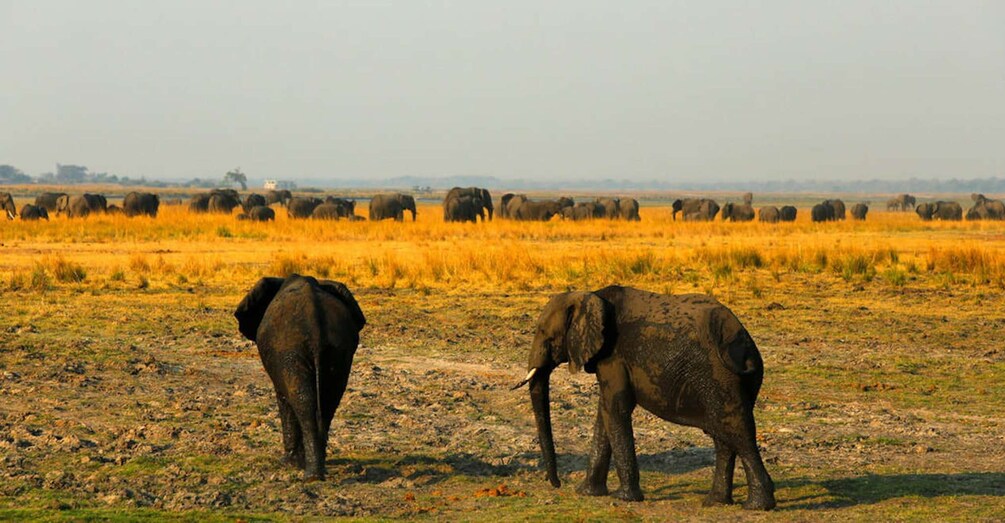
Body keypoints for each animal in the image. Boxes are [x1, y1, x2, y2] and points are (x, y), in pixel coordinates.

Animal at [234, 275, 365, 480]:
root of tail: (316, 327)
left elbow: (284, 399)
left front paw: (288, 464)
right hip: (338, 351)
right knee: (327, 402)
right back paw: (318, 469)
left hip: (291, 351)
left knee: (303, 401)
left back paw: (309, 474)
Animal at [518, 285, 775, 510]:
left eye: (546, 335)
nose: (557, 484)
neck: (590, 295)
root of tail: (745, 342)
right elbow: (605, 413)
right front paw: (586, 492)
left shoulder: (613, 355)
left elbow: (616, 409)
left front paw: (624, 498)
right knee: (723, 436)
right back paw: (715, 502)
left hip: (719, 376)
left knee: (736, 431)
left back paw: (757, 506)